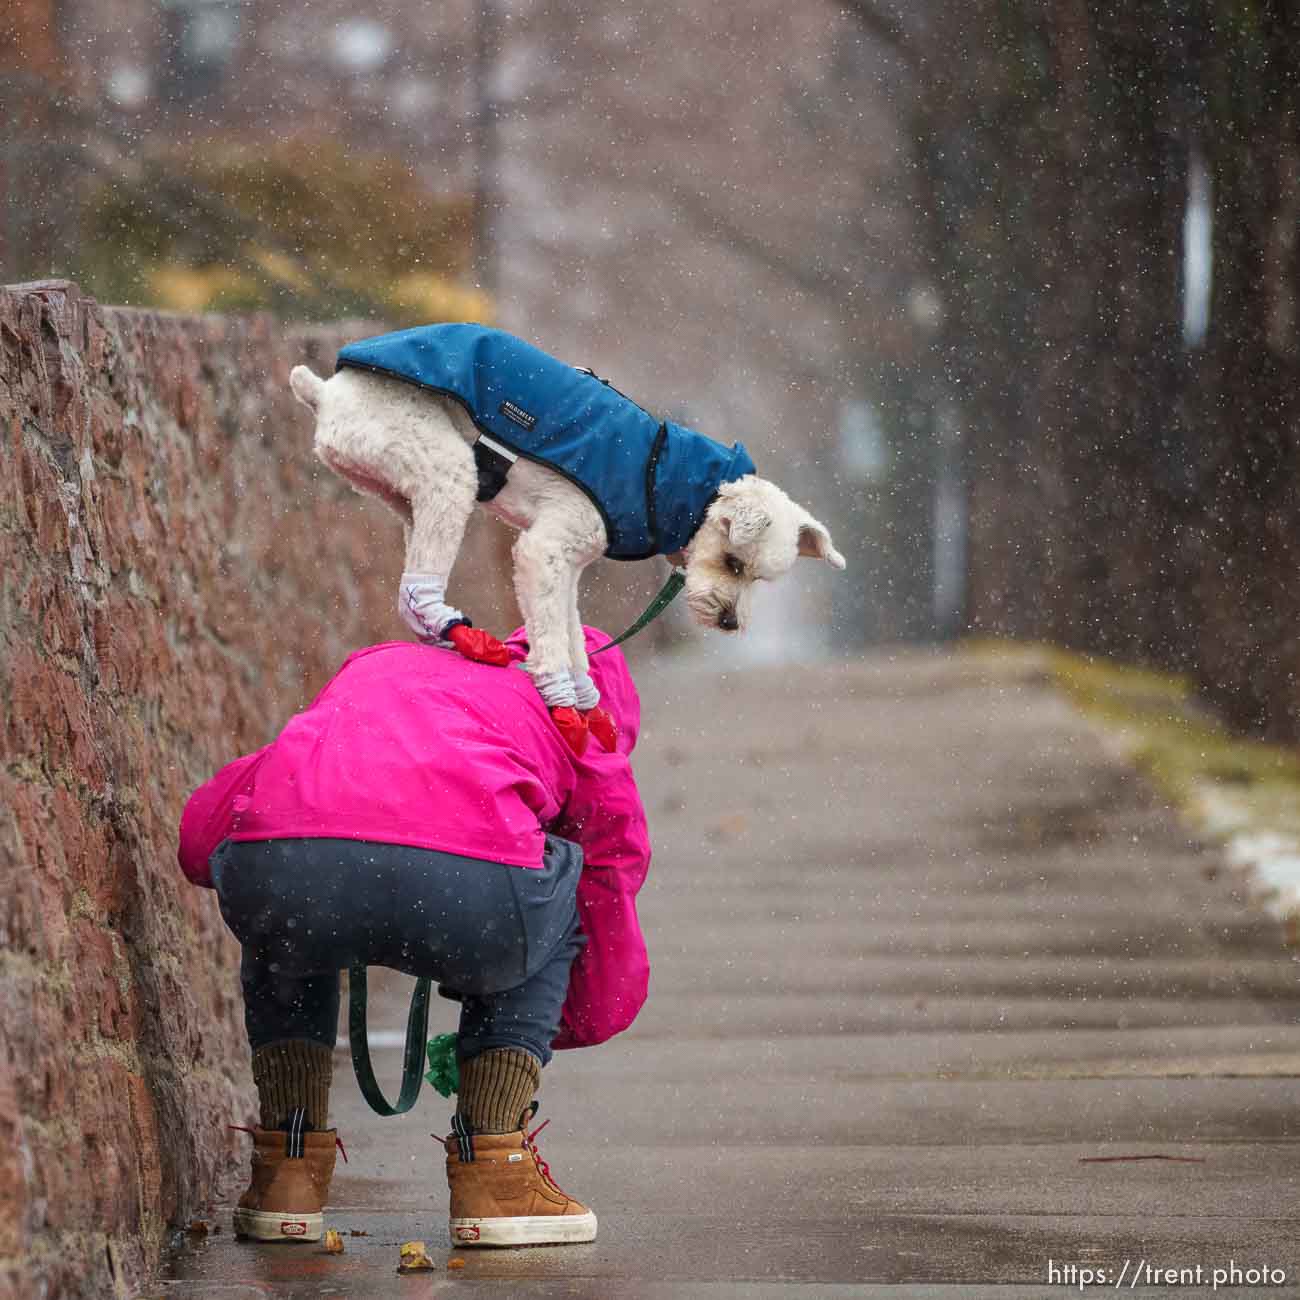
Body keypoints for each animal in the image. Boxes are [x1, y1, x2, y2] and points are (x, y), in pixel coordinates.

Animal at [289, 321, 847, 759]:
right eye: (734, 563)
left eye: (759, 580)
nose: (731, 623)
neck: (666, 478)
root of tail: (328, 391)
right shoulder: (544, 552)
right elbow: (552, 636)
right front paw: (559, 701)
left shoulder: (568, 565)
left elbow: (569, 629)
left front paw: (586, 704)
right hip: (444, 469)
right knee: (417, 587)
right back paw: (459, 631)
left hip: (402, 490)